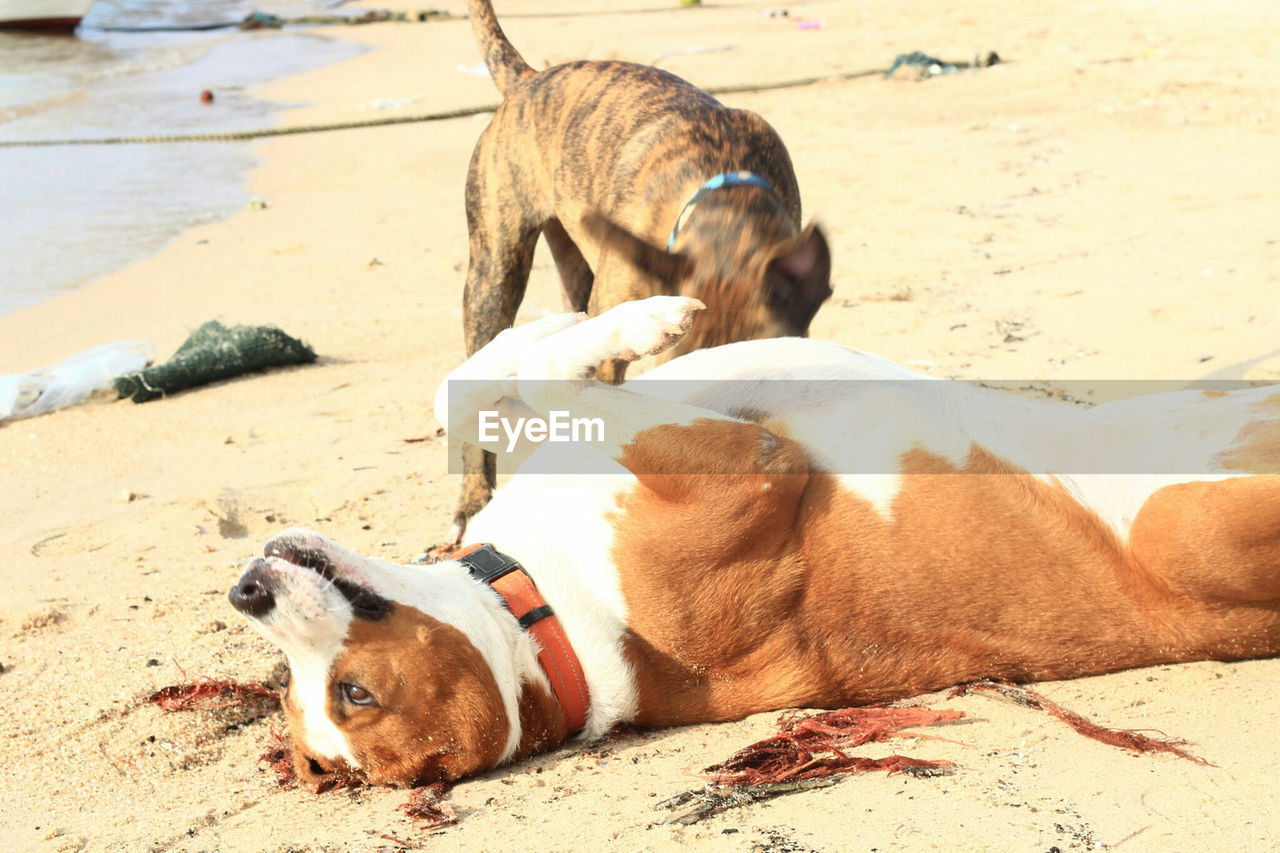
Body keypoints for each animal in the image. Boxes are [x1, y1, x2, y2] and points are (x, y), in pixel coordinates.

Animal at [230, 297, 1280, 783]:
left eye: (340, 691)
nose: (247, 591)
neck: (543, 610)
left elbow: (471, 381)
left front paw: (585, 321)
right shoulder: (752, 462)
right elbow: (538, 372)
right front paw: (645, 320)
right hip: (1195, 524)